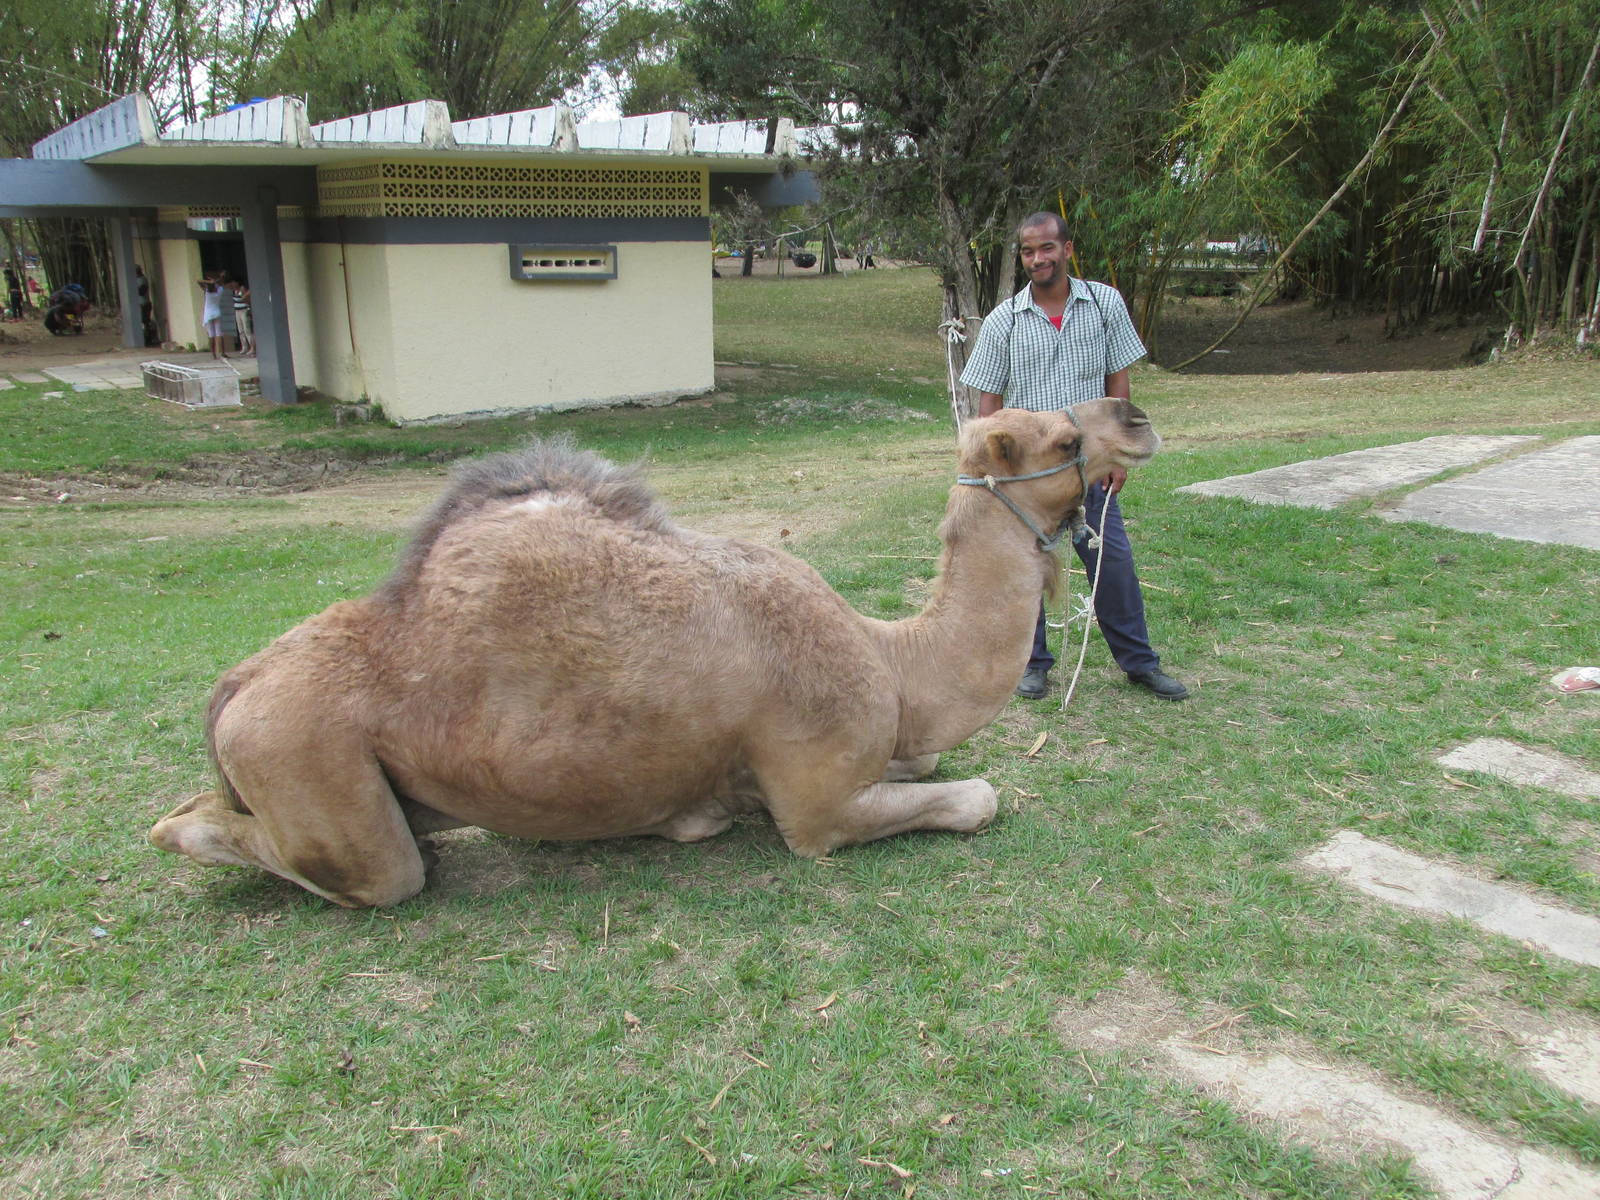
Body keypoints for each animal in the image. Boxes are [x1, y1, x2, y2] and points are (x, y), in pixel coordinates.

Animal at [150, 401, 1160, 907]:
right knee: (352, 867)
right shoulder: (818, 804)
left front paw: (696, 815)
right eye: (1065, 436)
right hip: (305, 753)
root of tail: (236, 685)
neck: (893, 660)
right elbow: (976, 797)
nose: (1138, 412)